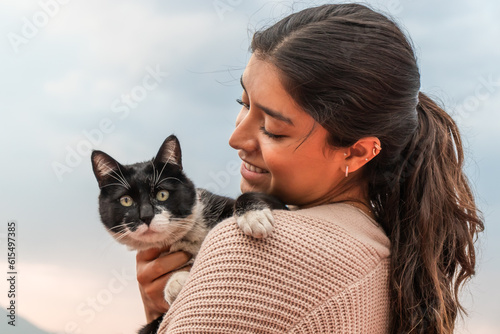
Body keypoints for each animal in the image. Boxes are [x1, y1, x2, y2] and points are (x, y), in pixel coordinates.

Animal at [91, 134, 288, 332]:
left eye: (162, 194)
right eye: (126, 200)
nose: (146, 216)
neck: (185, 238)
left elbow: (249, 196)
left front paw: (253, 216)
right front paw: (175, 282)